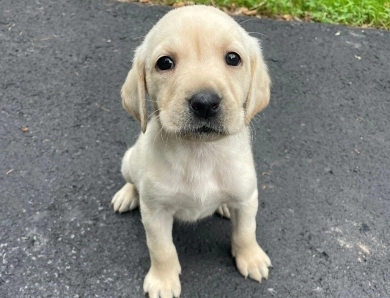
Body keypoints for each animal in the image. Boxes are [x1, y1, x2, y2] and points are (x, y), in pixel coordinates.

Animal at [112, 5, 272, 298]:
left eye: (233, 58)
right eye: (164, 63)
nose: (205, 102)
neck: (200, 152)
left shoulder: (247, 197)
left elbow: (246, 231)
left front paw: (251, 258)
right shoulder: (155, 212)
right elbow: (161, 248)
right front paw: (163, 280)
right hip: (128, 160)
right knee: (132, 181)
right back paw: (127, 195)